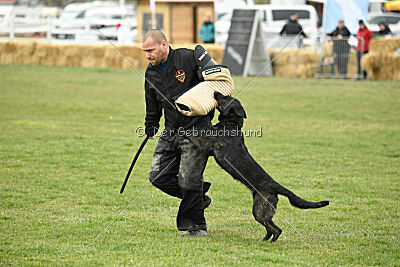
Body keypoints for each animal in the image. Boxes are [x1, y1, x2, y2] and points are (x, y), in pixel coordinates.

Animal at [189, 92, 330, 243]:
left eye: (226, 98)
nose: (215, 92)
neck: (232, 125)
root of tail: (274, 185)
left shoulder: (204, 144)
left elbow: (191, 134)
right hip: (261, 210)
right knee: (270, 228)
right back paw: (264, 240)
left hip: (259, 211)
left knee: (276, 229)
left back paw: (271, 242)